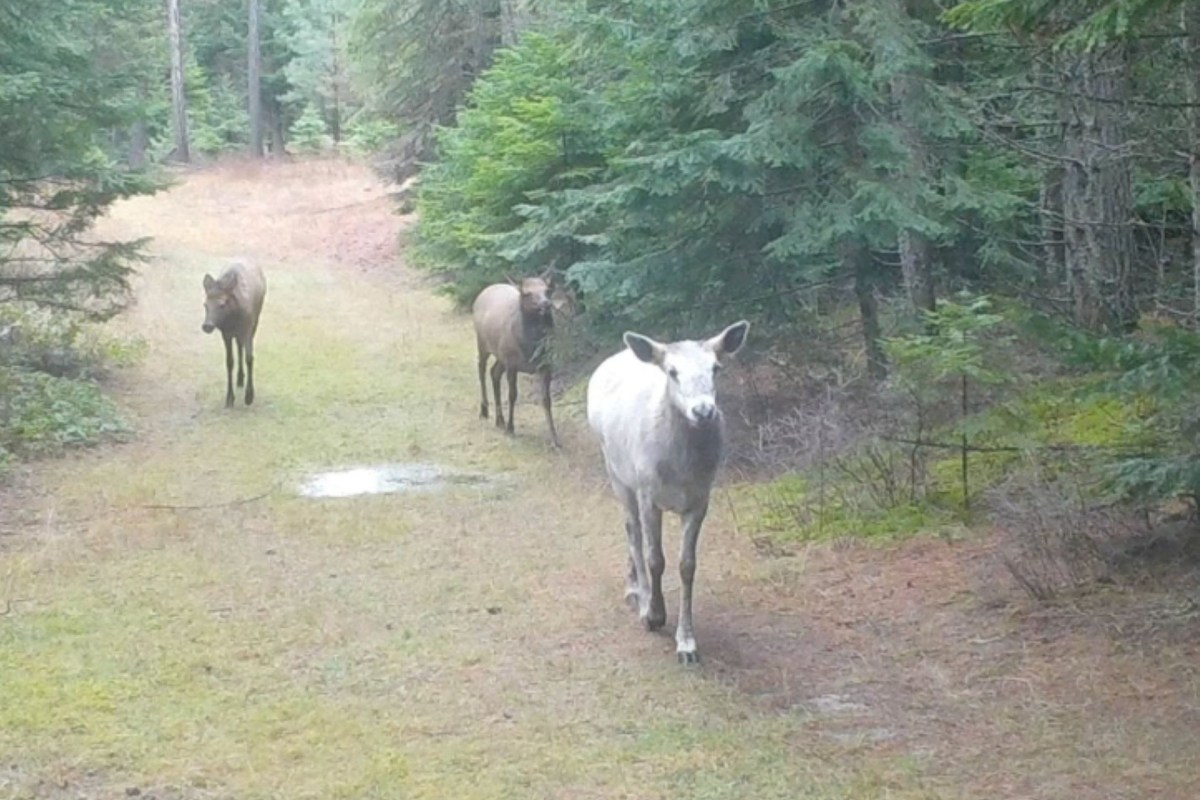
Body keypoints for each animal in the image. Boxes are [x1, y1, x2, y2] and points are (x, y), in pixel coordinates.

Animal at [201, 259, 266, 408]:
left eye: (222, 304)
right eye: (205, 304)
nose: (207, 326)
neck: (233, 318)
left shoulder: (248, 328)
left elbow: (250, 358)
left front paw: (249, 396)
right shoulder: (226, 333)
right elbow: (229, 362)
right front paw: (230, 398)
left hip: (256, 320)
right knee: (239, 346)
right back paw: (240, 378)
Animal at [472, 274, 561, 448]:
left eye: (547, 290)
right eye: (527, 293)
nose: (546, 304)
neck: (529, 348)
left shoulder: (546, 364)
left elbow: (546, 399)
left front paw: (554, 438)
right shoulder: (512, 363)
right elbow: (512, 395)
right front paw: (510, 429)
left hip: (501, 355)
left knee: (494, 372)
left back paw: (500, 419)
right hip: (482, 343)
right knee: (481, 368)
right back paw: (484, 410)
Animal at [586, 320, 749, 664]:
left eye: (716, 367)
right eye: (672, 371)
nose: (703, 411)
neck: (682, 468)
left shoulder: (701, 499)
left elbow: (687, 565)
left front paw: (687, 643)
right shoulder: (649, 494)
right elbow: (655, 558)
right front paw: (654, 615)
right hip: (616, 471)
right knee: (631, 530)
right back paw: (638, 593)